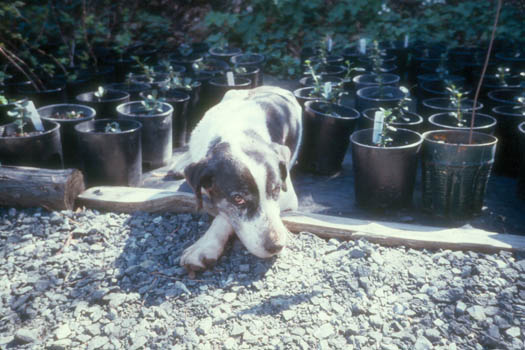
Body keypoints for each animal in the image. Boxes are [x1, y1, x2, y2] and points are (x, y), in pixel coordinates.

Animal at [174, 85, 300, 274]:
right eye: (238, 198)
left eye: (276, 190)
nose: (276, 246)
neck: (237, 129)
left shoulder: (288, 198)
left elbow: (224, 217)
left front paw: (204, 247)